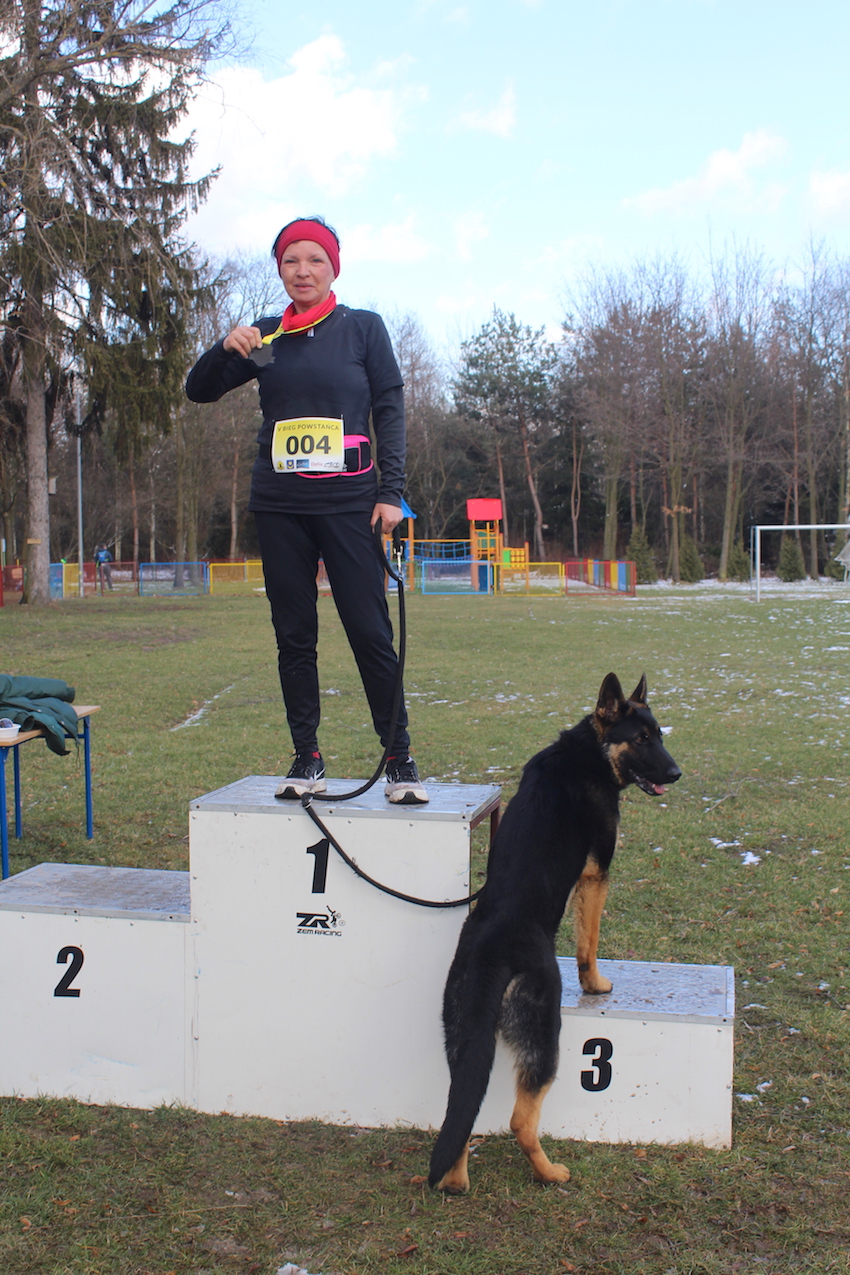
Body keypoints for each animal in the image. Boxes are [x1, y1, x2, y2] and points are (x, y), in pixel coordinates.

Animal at [428, 673, 681, 1192]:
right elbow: (589, 942)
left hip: (462, 1041)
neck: (591, 752)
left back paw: (457, 1181)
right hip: (545, 1040)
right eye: (641, 738)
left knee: (460, 1112)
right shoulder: (596, 875)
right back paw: (550, 1173)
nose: (676, 773)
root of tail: (492, 953)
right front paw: (596, 984)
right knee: (520, 1121)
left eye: (660, 734)